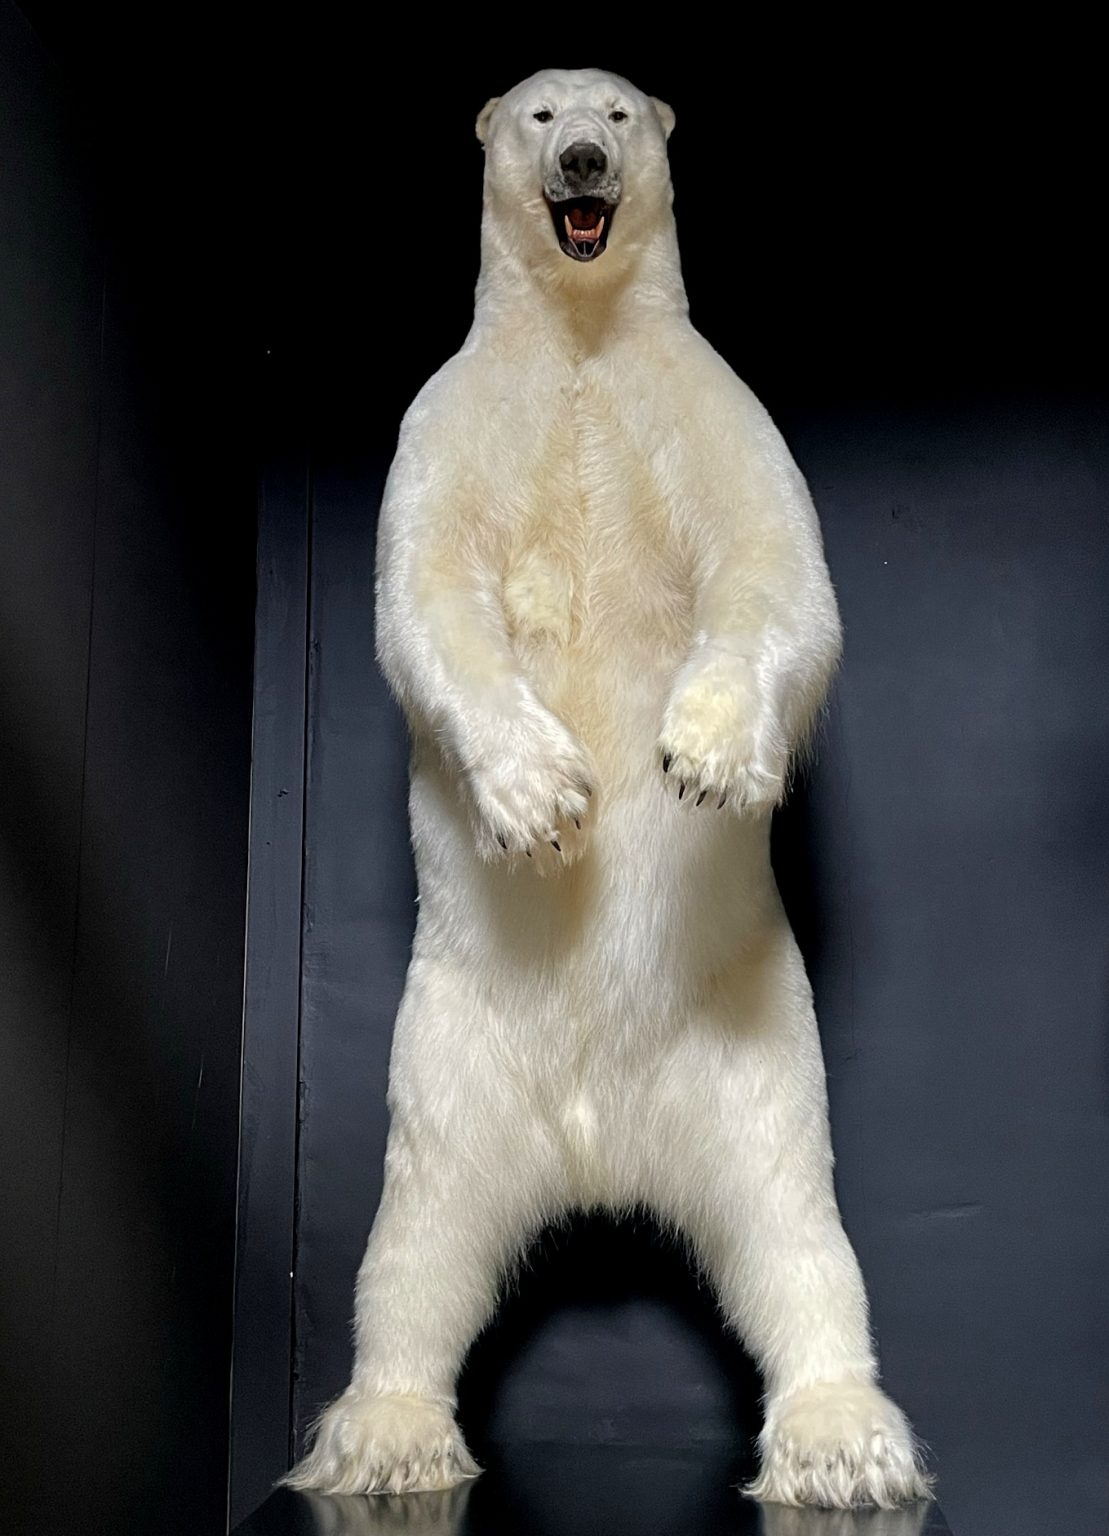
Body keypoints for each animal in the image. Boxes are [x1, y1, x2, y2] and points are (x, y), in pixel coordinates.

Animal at [283, 67, 932, 1510]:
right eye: (537, 115)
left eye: (620, 114)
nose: (581, 162)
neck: (578, 344)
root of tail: (599, 1158)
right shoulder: (452, 425)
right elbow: (428, 602)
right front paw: (542, 803)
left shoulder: (707, 409)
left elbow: (776, 575)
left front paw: (703, 756)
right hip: (447, 1069)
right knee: (415, 1246)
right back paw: (386, 1435)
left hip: (753, 1056)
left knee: (795, 1228)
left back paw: (841, 1441)